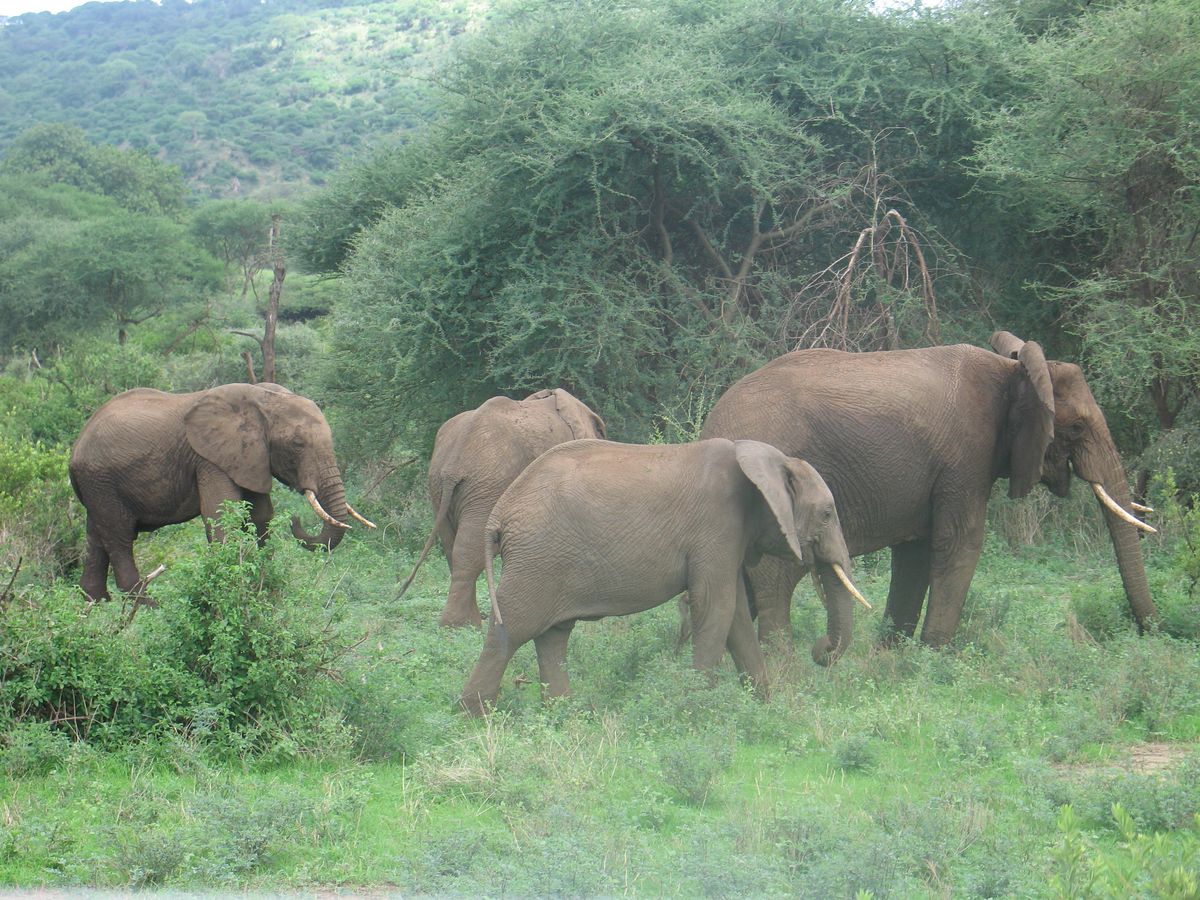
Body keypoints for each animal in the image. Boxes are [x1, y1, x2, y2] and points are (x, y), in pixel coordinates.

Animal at [69, 382, 374, 602]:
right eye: (297, 444)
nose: (295, 520)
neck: (264, 398)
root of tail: (76, 446)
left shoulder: (250, 458)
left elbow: (261, 515)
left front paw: (263, 589)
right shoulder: (210, 459)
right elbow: (220, 514)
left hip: (97, 486)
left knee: (97, 538)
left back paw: (95, 603)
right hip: (102, 482)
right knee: (119, 537)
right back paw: (151, 607)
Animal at [397, 388, 607, 627]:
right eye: (601, 431)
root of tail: (454, 464)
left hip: (441, 487)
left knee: (452, 546)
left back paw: (464, 624)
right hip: (487, 486)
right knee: (471, 548)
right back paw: (463, 624)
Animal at [459, 438, 869, 716]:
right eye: (827, 514)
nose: (820, 650)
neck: (766, 459)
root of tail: (501, 511)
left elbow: (734, 614)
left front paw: (762, 706)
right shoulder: (717, 526)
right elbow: (715, 608)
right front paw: (697, 710)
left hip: (548, 560)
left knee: (553, 635)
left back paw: (564, 713)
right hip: (537, 558)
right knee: (513, 627)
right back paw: (477, 713)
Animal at [699, 331, 1157, 655]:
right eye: (1077, 427)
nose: (1150, 632)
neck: (1012, 372)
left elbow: (916, 553)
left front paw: (893, 660)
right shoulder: (965, 457)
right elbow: (959, 544)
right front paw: (933, 662)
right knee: (774, 580)